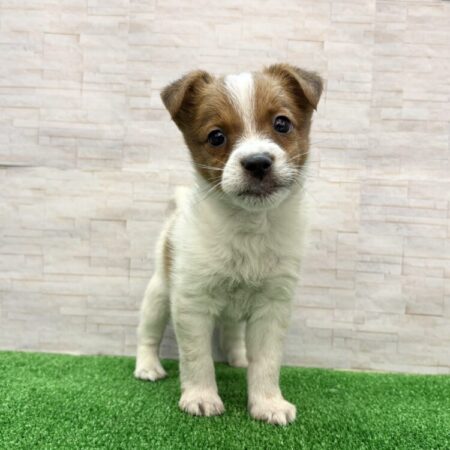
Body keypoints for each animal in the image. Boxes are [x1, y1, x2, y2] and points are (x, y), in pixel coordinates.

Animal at [135, 64, 323, 425]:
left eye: (282, 123)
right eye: (216, 136)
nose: (258, 162)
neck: (248, 227)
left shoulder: (272, 306)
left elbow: (267, 363)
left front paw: (267, 403)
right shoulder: (191, 303)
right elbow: (197, 359)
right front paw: (201, 397)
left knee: (232, 331)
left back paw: (238, 358)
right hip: (159, 292)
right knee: (148, 332)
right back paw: (148, 367)